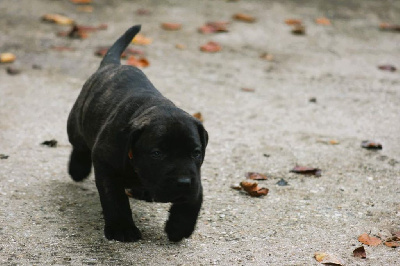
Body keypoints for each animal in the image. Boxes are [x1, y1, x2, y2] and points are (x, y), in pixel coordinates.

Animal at [67, 23, 208, 242]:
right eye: (157, 153)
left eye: (196, 153)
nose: (183, 183)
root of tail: (111, 66)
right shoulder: (106, 164)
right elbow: (115, 198)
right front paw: (122, 228)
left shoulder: (196, 178)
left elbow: (194, 200)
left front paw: (179, 227)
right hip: (75, 123)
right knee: (79, 145)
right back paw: (78, 169)